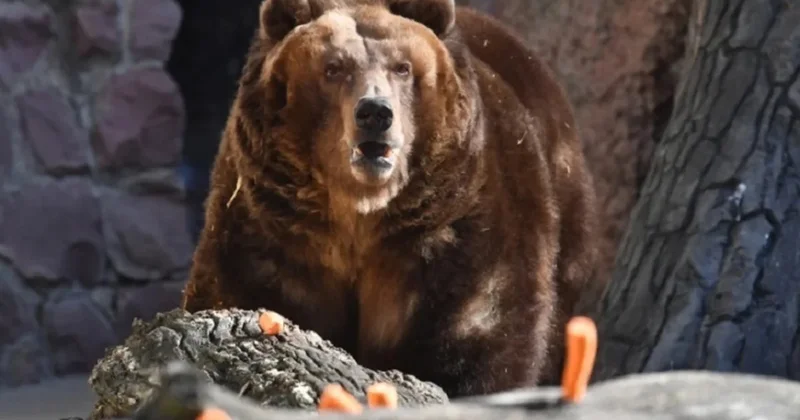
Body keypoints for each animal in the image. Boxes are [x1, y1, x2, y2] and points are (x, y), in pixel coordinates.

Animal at [182, 0, 601, 397]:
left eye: (402, 67)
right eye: (333, 68)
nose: (375, 112)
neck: (360, 216)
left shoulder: (457, 231)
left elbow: (477, 335)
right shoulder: (272, 231)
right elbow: (244, 293)